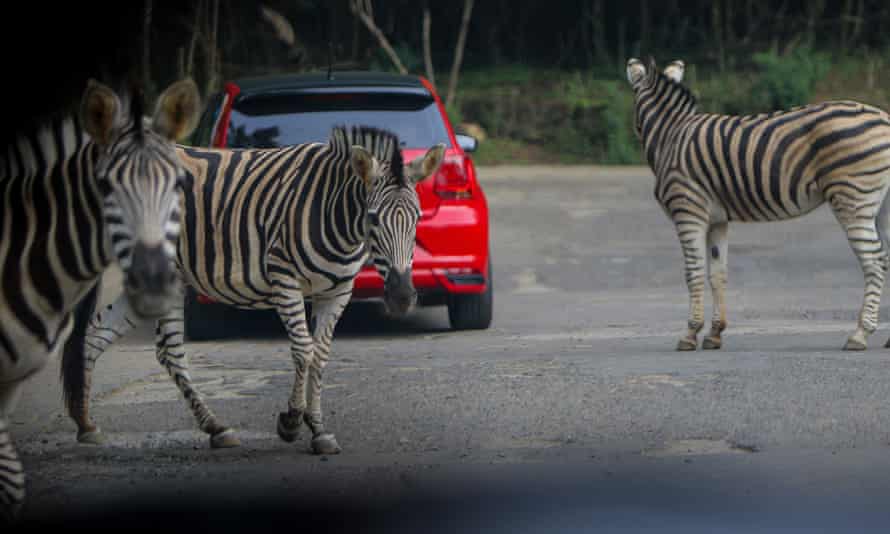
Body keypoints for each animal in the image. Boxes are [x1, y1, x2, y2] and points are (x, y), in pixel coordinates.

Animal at [62, 125, 445, 455]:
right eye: (373, 218)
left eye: (417, 217)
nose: (401, 297)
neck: (335, 213)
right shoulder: (284, 279)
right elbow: (303, 351)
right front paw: (291, 422)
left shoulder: (336, 293)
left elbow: (320, 355)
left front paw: (319, 431)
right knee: (161, 348)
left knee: (103, 333)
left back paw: (91, 424)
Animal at [626, 57, 890, 351]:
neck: (670, 136)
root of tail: (883, 117)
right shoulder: (717, 220)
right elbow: (717, 274)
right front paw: (715, 333)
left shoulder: (688, 212)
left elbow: (693, 273)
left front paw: (690, 334)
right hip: (881, 205)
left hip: (854, 199)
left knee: (874, 262)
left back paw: (860, 334)